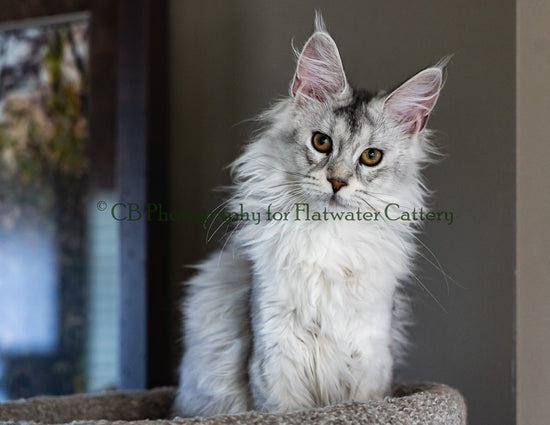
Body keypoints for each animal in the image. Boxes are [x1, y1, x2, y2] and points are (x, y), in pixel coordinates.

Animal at [175, 13, 446, 418]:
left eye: (371, 157)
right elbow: (282, 409)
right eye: (321, 142)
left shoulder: (371, 357)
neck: (327, 237)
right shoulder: (274, 352)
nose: (337, 182)